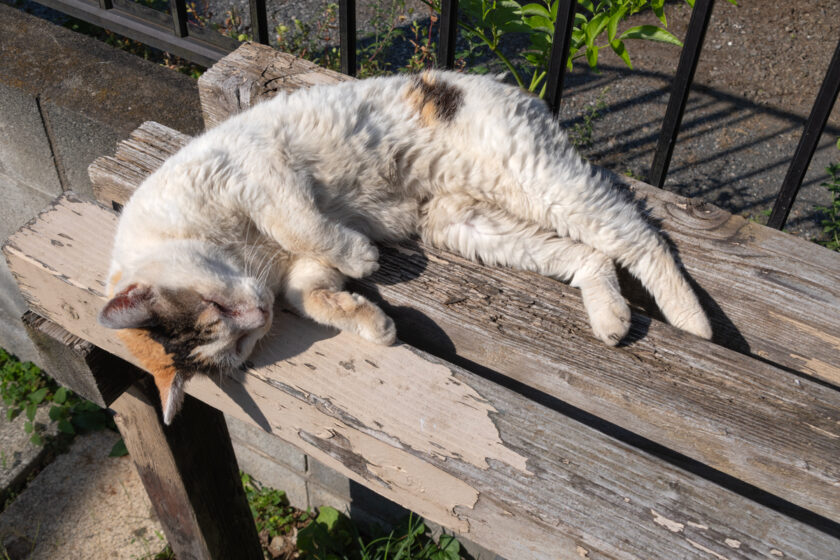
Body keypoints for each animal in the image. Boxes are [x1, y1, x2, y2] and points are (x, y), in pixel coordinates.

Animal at [101, 70, 712, 422]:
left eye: (221, 309)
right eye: (243, 344)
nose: (258, 314)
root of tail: (502, 83)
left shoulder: (263, 175)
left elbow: (301, 224)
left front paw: (364, 258)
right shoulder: (295, 271)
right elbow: (312, 295)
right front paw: (373, 322)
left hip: (537, 180)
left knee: (638, 234)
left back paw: (693, 322)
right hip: (470, 225)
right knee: (591, 255)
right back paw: (610, 317)